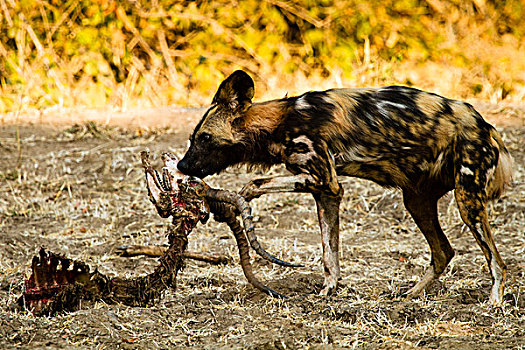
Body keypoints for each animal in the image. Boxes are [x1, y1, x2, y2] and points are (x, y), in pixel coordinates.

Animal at [179, 70, 512, 304]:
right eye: (192, 138)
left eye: (204, 138)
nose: (182, 166)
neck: (280, 123)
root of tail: (485, 126)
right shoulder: (326, 192)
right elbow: (330, 255)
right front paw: (328, 293)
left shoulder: (323, 179)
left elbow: (253, 184)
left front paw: (234, 204)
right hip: (416, 202)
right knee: (443, 252)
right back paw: (409, 296)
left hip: (467, 201)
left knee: (497, 262)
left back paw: (493, 303)